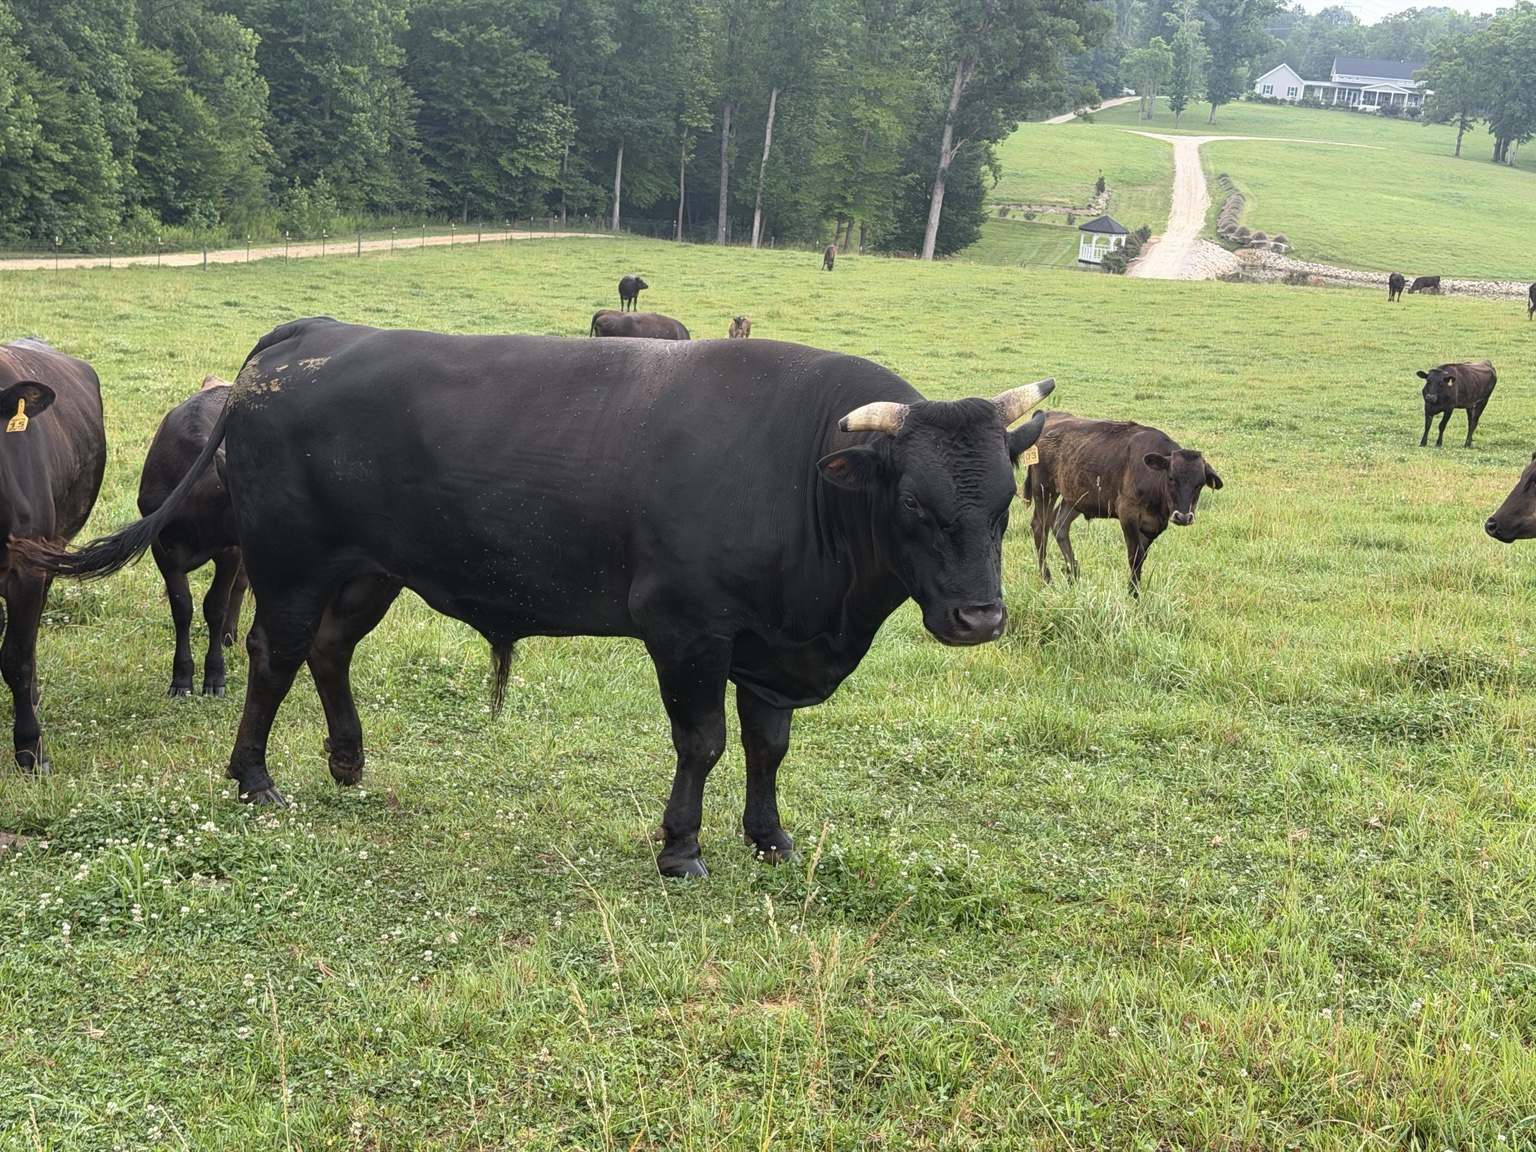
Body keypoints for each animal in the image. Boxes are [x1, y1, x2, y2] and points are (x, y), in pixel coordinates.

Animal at [139, 375, 247, 696]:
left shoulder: (231, 550)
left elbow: (215, 606)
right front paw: (181, 677)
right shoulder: (163, 549)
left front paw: (214, 676)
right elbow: (182, 607)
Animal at [1018, 412, 1222, 598]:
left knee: (1060, 525)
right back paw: (1046, 578)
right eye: (1171, 478)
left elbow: (1141, 557)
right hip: (1044, 488)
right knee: (1040, 527)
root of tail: (1049, 413)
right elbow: (1134, 555)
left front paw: (1133, 590)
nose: (1183, 517)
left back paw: (1074, 577)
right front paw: (1133, 595)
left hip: (1074, 496)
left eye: (1200, 484)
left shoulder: (1154, 525)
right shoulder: (1128, 514)